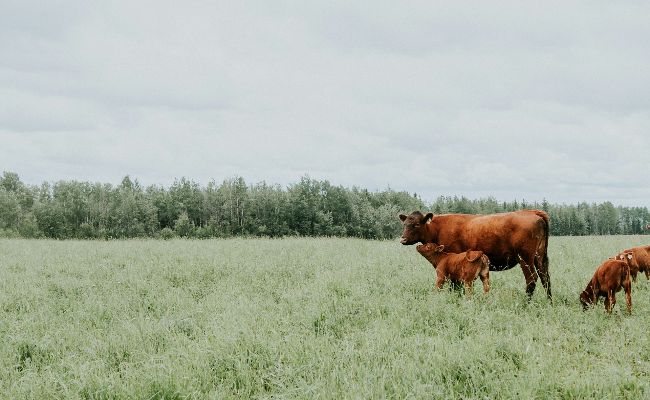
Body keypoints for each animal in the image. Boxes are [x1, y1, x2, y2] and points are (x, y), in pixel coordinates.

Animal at [398, 209, 548, 300]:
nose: (403, 239)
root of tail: (532, 212)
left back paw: (525, 303)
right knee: (545, 277)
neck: (437, 228)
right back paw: (549, 302)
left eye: (416, 224)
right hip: (540, 256)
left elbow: (455, 286)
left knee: (532, 279)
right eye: (404, 224)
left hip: (525, 258)